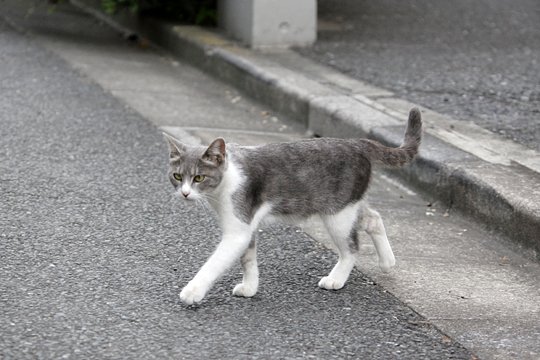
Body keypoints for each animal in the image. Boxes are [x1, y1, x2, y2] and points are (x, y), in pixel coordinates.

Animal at [163, 107, 422, 306]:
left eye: (199, 178)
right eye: (177, 176)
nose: (185, 193)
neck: (224, 184)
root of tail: (357, 143)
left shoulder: (237, 229)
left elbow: (214, 263)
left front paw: (192, 291)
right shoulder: (247, 225)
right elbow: (248, 260)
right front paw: (250, 288)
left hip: (337, 214)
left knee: (352, 247)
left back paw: (336, 279)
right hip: (348, 204)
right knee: (373, 218)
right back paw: (387, 261)